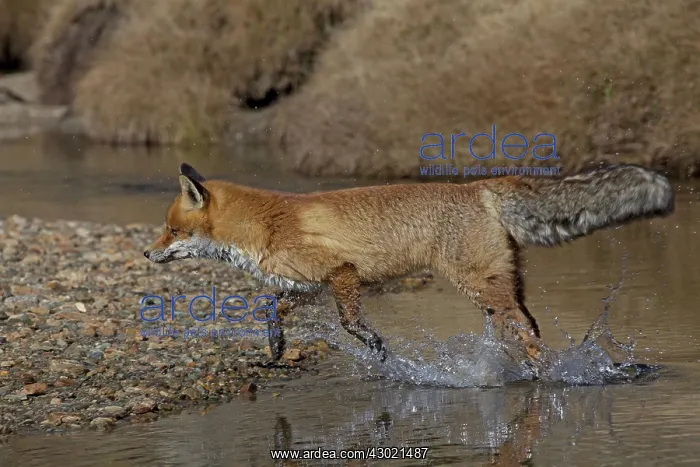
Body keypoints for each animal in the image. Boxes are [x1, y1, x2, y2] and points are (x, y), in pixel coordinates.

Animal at [144, 162, 674, 377]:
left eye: (170, 231)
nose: (147, 255)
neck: (267, 225)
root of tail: (480, 187)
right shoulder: (306, 286)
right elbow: (270, 311)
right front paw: (274, 349)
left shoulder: (342, 272)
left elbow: (351, 324)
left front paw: (379, 350)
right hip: (501, 287)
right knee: (530, 325)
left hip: (479, 285)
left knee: (528, 332)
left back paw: (547, 374)